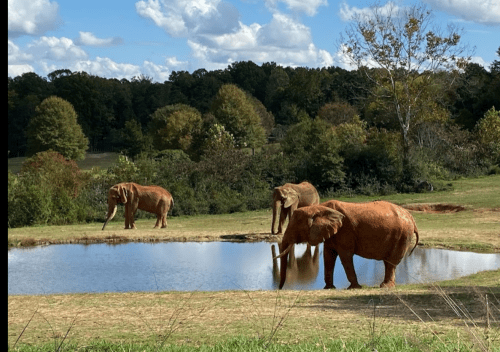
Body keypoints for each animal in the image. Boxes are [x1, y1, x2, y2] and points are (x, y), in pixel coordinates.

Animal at [276, 199, 420, 290]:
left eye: (295, 227)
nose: (279, 289)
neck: (319, 207)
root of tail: (411, 217)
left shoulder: (345, 231)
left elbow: (345, 256)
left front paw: (354, 288)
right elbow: (328, 256)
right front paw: (329, 288)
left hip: (402, 235)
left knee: (391, 262)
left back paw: (385, 286)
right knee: (388, 262)